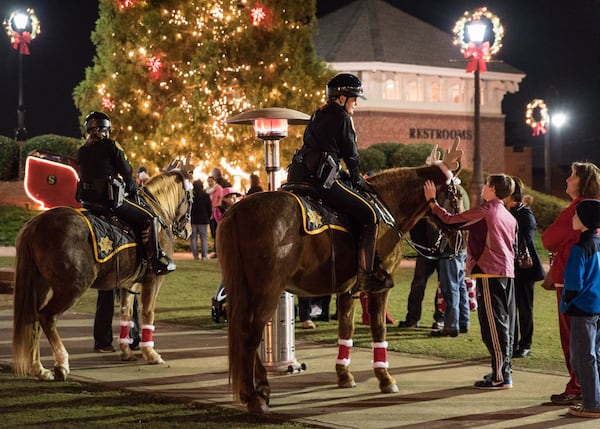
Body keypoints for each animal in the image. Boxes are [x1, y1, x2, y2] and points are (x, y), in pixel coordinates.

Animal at [12, 157, 193, 382]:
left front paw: (126, 351)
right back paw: (61, 364)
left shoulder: (129, 283)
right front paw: (151, 354)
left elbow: (126, 313)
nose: (188, 231)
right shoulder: (153, 279)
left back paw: (39, 369)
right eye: (192, 196)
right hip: (71, 288)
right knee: (47, 317)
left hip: (41, 285)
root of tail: (36, 224)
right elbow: (148, 313)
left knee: (33, 320)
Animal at [218, 138, 466, 412]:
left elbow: (346, 328)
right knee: (249, 333)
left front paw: (344, 374)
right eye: (455, 196)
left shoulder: (348, 289)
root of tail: (236, 211)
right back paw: (253, 396)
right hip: (267, 289)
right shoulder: (380, 288)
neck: (388, 208)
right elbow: (379, 329)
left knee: (243, 332)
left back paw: (261, 387)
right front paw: (385, 378)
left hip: (246, 288)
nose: (461, 241)